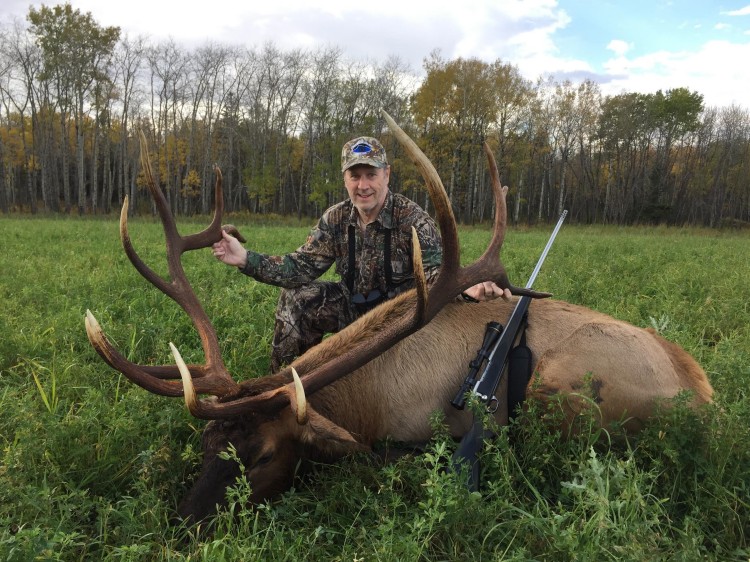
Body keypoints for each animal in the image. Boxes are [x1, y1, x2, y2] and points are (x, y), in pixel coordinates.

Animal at [84, 111, 713, 524]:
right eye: (208, 442)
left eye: (260, 455)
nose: (184, 523)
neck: (364, 402)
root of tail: (705, 398)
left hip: (563, 391)